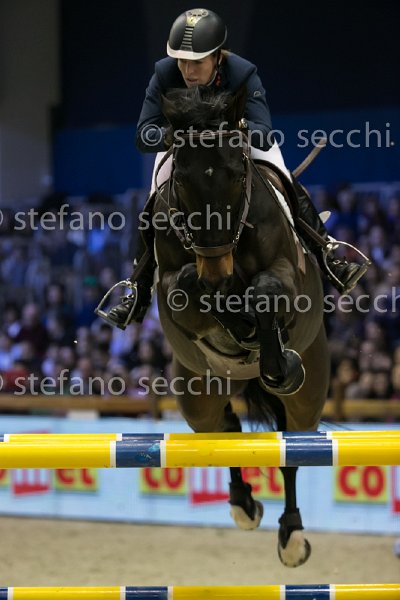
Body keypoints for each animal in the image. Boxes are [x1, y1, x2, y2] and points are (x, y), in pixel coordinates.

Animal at [152, 85, 330, 567]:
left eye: (235, 176)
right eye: (181, 182)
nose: (217, 270)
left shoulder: (286, 274)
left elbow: (264, 292)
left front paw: (271, 351)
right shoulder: (178, 287)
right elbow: (192, 289)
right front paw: (236, 317)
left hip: (309, 394)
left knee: (292, 448)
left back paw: (291, 536)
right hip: (198, 392)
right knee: (223, 430)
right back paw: (243, 505)